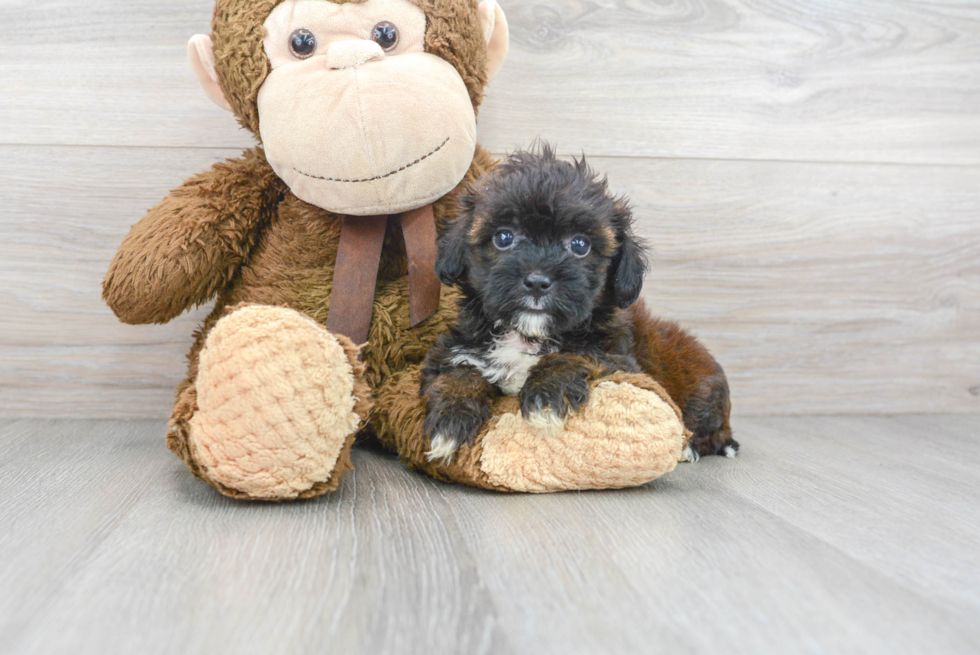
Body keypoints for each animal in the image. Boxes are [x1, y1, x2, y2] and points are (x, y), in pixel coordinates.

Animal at [420, 146, 736, 464]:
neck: (529, 335)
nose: (537, 281)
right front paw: (450, 419)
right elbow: (459, 371)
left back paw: (689, 447)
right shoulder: (457, 349)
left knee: (714, 432)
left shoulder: (620, 360)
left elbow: (577, 354)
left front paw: (545, 396)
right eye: (504, 237)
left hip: (702, 391)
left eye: (580, 245)